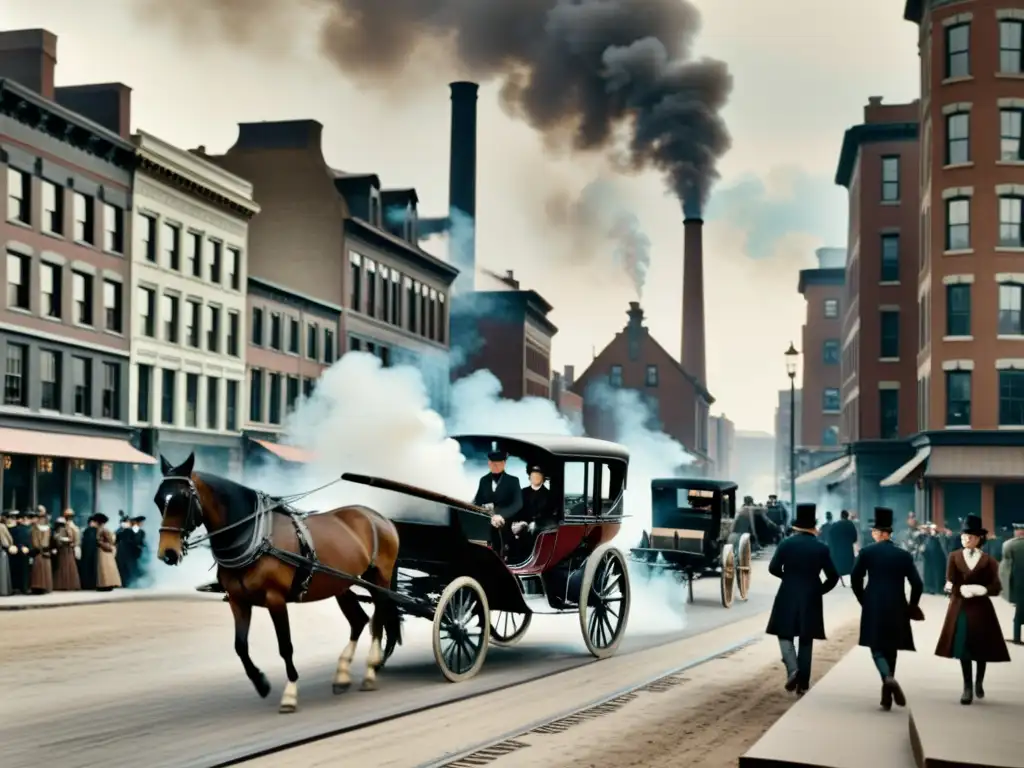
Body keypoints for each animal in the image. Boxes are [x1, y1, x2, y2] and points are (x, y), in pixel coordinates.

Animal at [153, 450, 401, 716]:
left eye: (183, 499)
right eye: (158, 500)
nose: (167, 553)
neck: (255, 535)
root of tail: (379, 517)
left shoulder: (276, 599)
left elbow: (285, 645)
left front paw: (290, 693)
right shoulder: (238, 601)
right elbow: (240, 646)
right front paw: (261, 682)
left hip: (379, 579)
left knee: (378, 618)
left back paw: (370, 670)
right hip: (340, 584)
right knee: (359, 620)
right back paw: (343, 675)